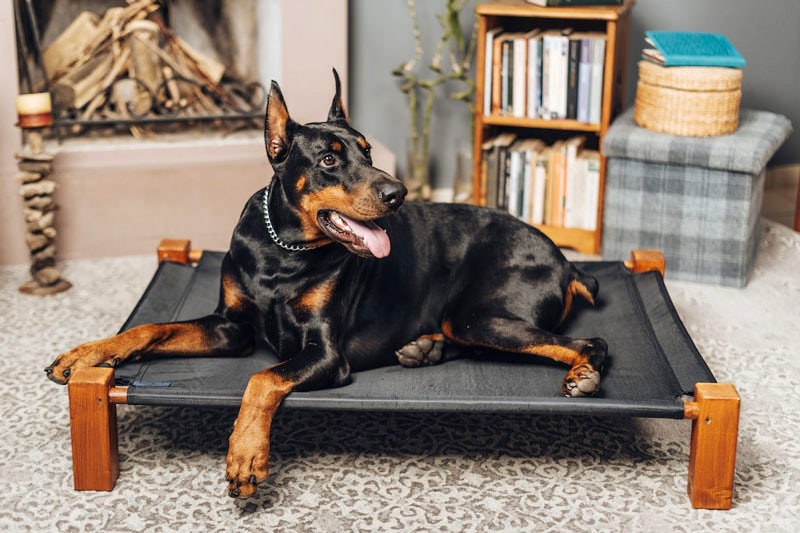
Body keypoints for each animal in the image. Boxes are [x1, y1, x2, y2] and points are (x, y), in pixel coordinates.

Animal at [45, 68, 608, 496]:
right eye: (330, 159)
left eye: (368, 150)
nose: (398, 193)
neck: (283, 251)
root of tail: (566, 261)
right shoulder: (230, 326)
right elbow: (152, 328)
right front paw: (84, 355)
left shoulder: (325, 353)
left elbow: (261, 378)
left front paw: (246, 456)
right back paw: (421, 349)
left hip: (479, 315)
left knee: (591, 341)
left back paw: (584, 374)